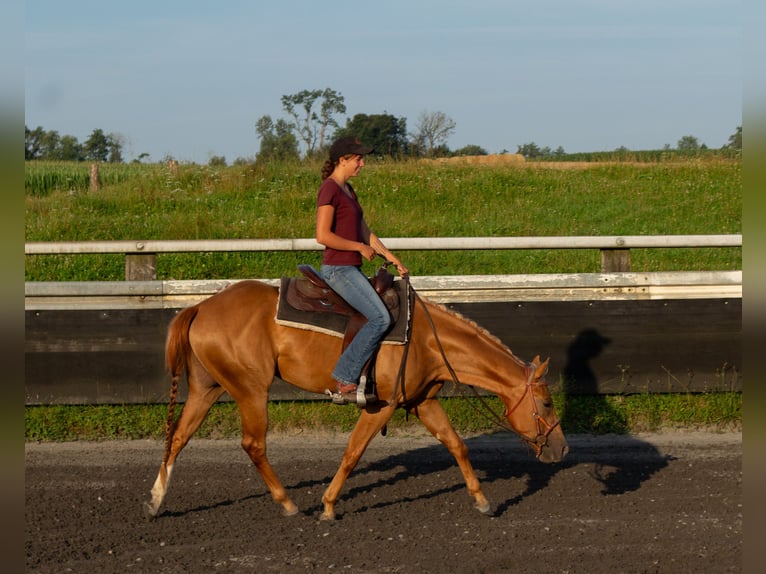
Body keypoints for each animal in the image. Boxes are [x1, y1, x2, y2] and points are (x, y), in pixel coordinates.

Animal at [144, 278, 568, 520]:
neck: (425, 339)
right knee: (253, 444)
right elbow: (353, 452)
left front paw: (482, 500)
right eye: (547, 404)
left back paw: (155, 500)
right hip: (251, 389)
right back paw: (288, 504)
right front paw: (329, 506)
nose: (561, 449)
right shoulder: (383, 406)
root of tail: (201, 306)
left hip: (207, 388)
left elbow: (457, 445)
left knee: (178, 437)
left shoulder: (422, 402)